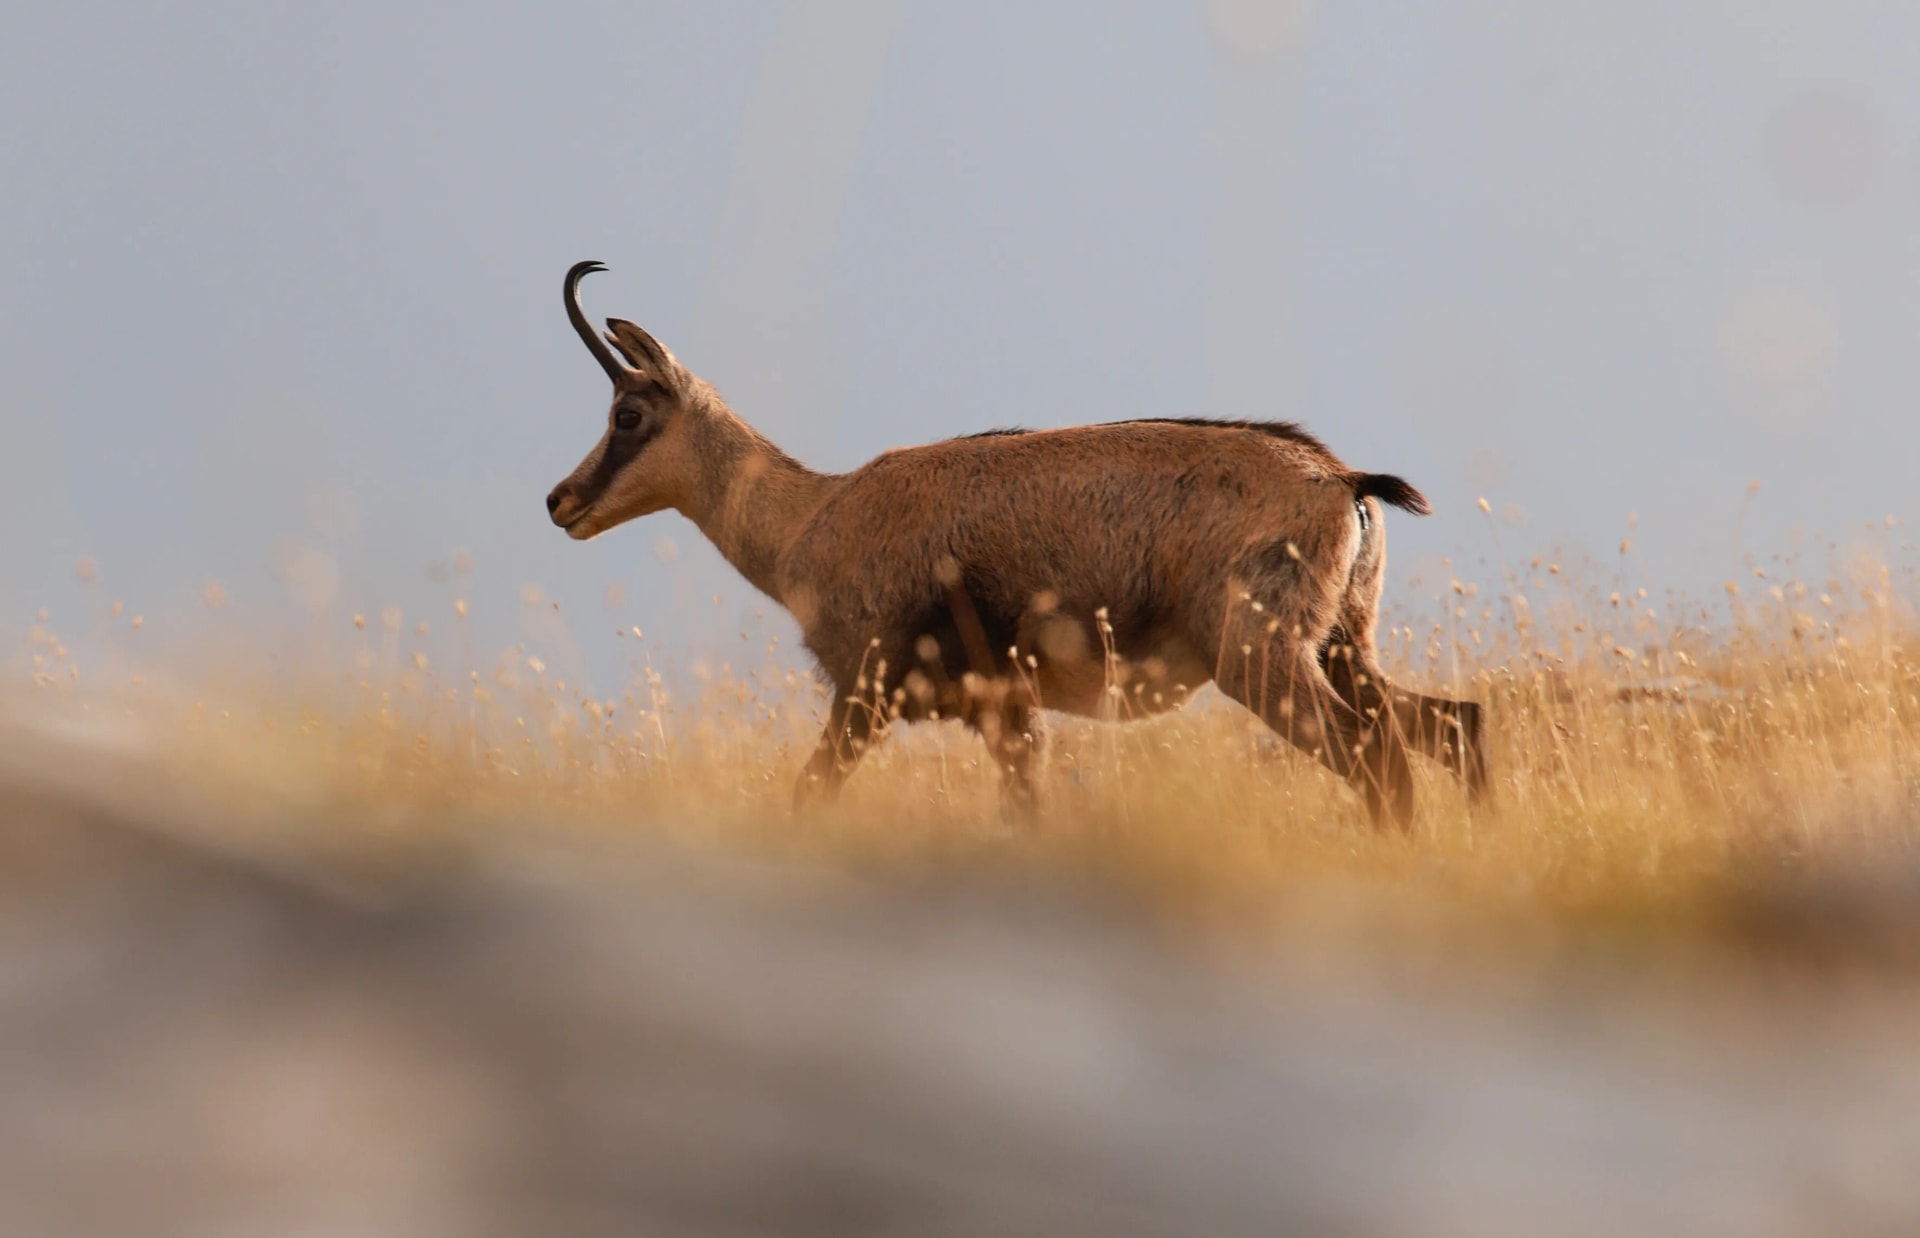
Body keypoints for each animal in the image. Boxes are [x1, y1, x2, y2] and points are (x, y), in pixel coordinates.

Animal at [545, 262, 1485, 829]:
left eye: (628, 413)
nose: (561, 502)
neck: (818, 514)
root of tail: (1342, 479)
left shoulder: (870, 693)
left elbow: (812, 792)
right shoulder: (1005, 711)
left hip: (1263, 661)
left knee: (1378, 758)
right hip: (1340, 651)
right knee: (1450, 725)